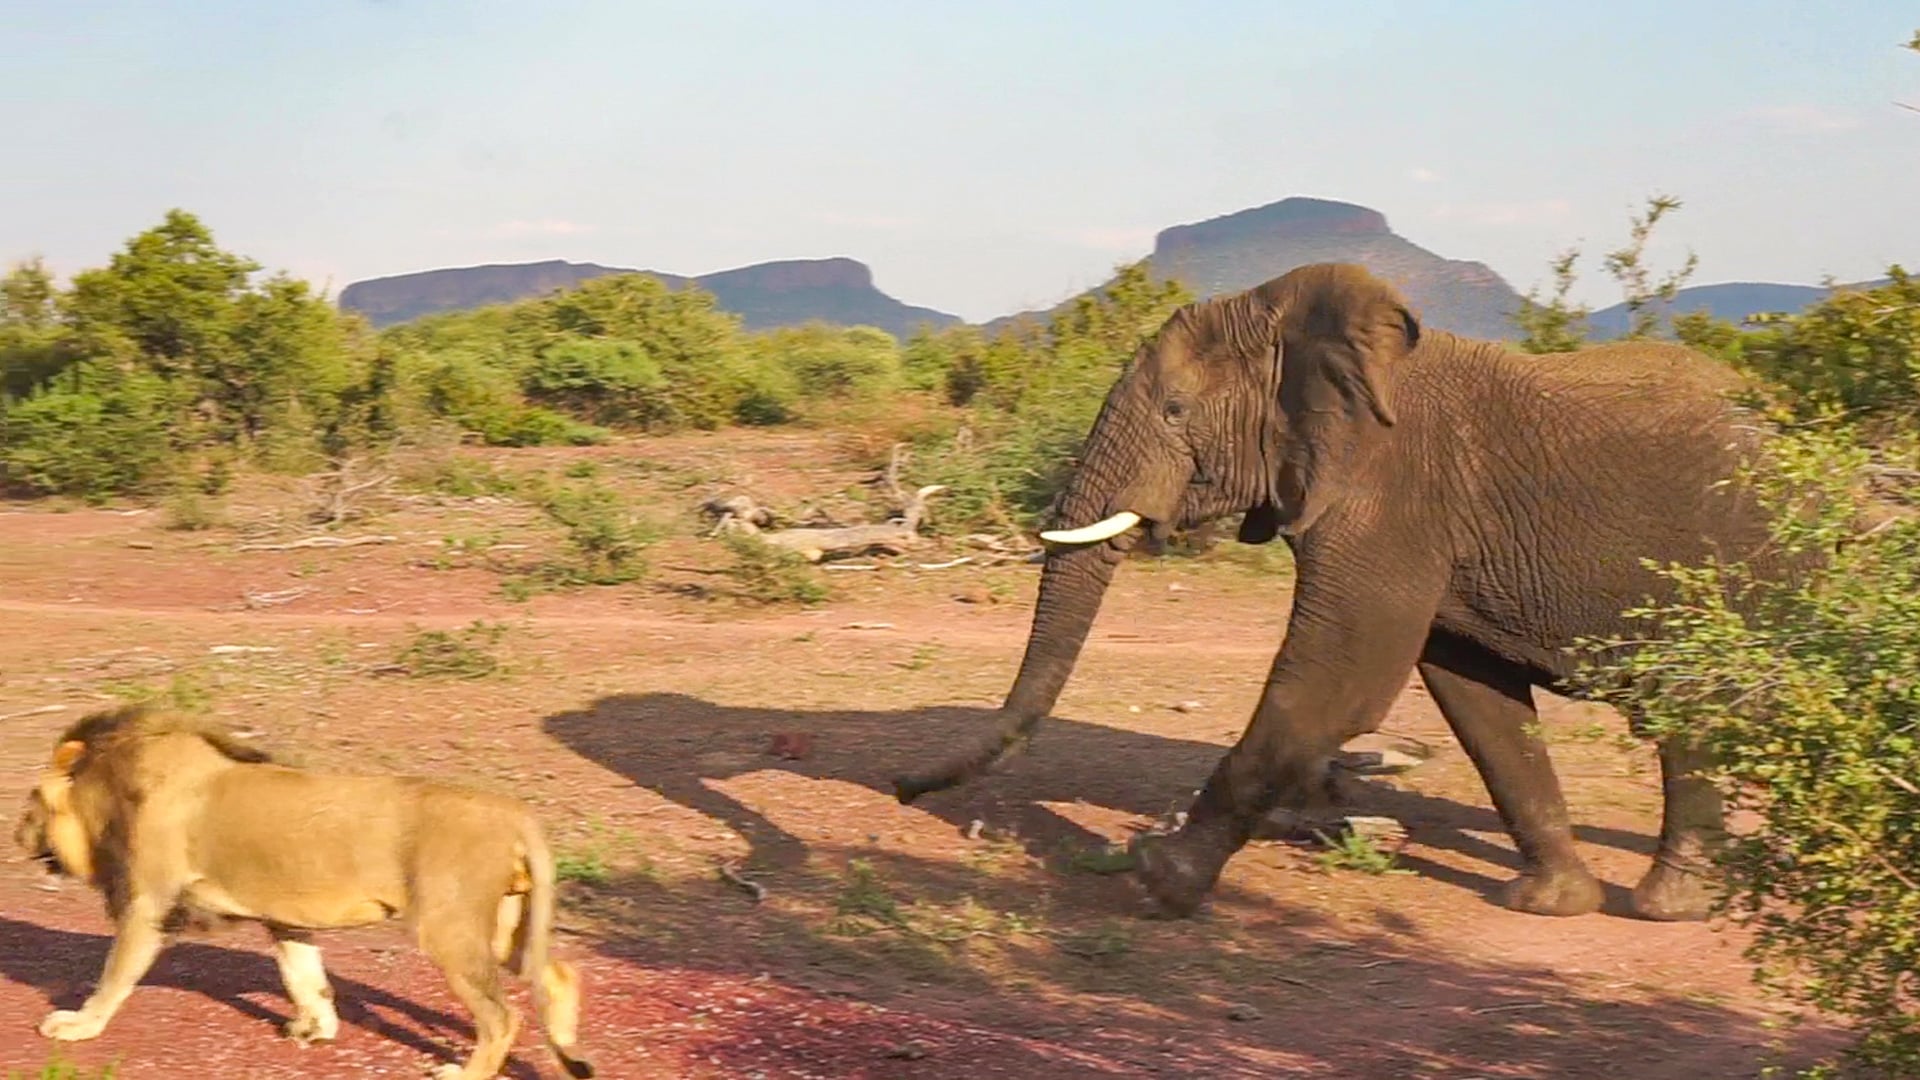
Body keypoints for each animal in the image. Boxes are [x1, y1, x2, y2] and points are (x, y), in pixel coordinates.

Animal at [12, 703, 595, 1080]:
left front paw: (78, 1025)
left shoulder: (147, 905)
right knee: (558, 973)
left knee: (502, 1017)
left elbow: (113, 976)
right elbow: (304, 976)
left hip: (447, 926)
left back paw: (465, 1073)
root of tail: (512, 810)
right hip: (501, 923)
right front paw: (316, 1029)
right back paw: (569, 1049)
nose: (15, 836)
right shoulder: (284, 919)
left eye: (30, 803)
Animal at [894, 261, 1797, 923]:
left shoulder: (1393, 493)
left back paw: (1668, 907)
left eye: (1177, 410)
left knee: (1695, 710)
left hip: (1738, 557)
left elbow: (1339, 675)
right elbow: (1477, 698)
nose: (901, 788)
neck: (1293, 328)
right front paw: (1548, 904)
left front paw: (1158, 877)